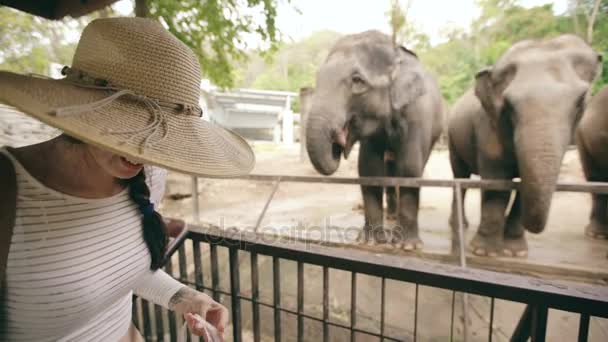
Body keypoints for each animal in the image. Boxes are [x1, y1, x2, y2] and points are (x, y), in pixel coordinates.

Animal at [306, 30, 444, 248]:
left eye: (357, 80)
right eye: (317, 79)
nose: (337, 141)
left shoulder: (417, 115)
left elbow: (410, 168)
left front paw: (407, 246)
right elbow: (369, 169)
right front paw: (370, 241)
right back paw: (390, 217)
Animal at [446, 34, 604, 258]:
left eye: (581, 100)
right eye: (509, 105)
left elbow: (523, 186)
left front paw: (515, 252)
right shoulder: (488, 127)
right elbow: (496, 183)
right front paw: (483, 252)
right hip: (452, 138)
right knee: (461, 176)